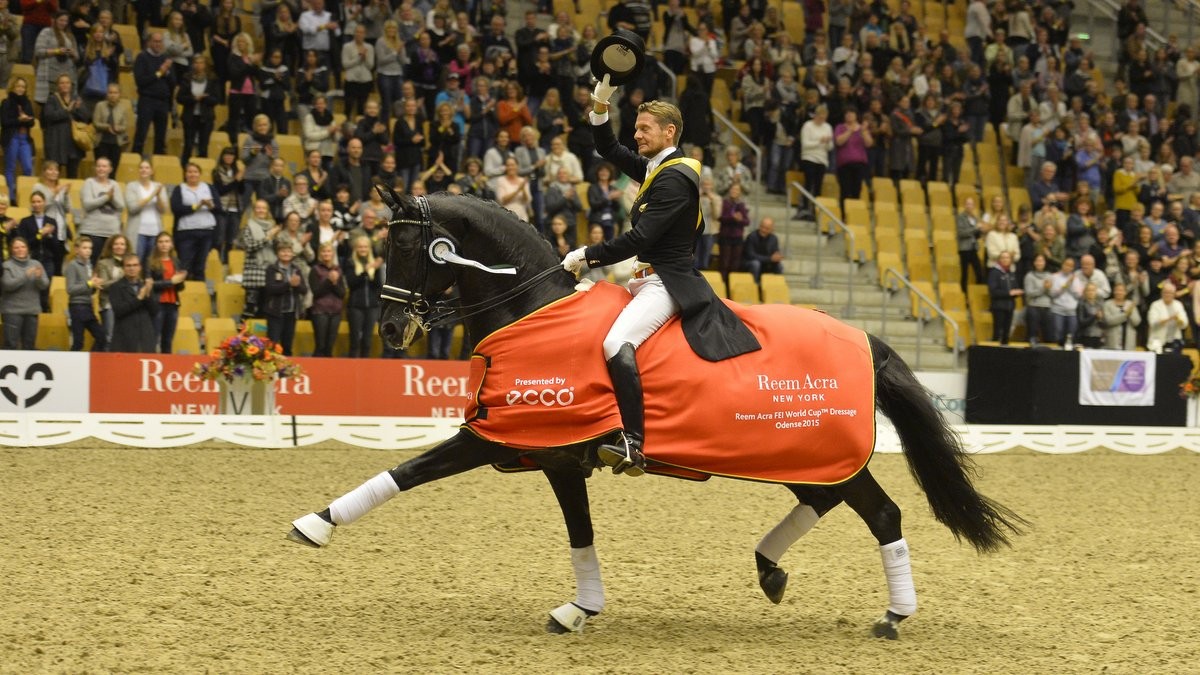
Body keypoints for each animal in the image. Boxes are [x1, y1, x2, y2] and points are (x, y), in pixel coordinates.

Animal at [288, 189, 1022, 634]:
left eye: (408, 246)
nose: (390, 329)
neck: (532, 312)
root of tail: (865, 336)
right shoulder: (555, 459)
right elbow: (580, 534)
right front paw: (581, 607)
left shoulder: (504, 436)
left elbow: (408, 470)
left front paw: (313, 523)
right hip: (804, 452)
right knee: (827, 500)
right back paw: (769, 567)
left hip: (824, 450)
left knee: (883, 514)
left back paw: (893, 615)